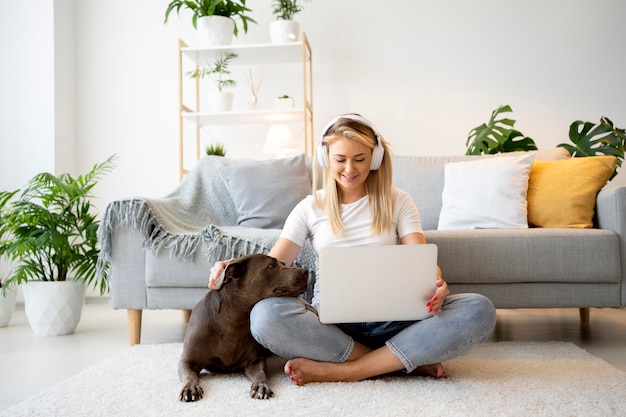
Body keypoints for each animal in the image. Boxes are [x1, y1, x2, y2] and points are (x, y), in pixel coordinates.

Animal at [177, 252, 308, 402]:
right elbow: (190, 375)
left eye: (284, 263)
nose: (306, 271)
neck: (233, 322)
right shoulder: (187, 361)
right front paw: (190, 388)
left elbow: (261, 374)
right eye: (271, 265)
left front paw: (261, 386)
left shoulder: (254, 362)